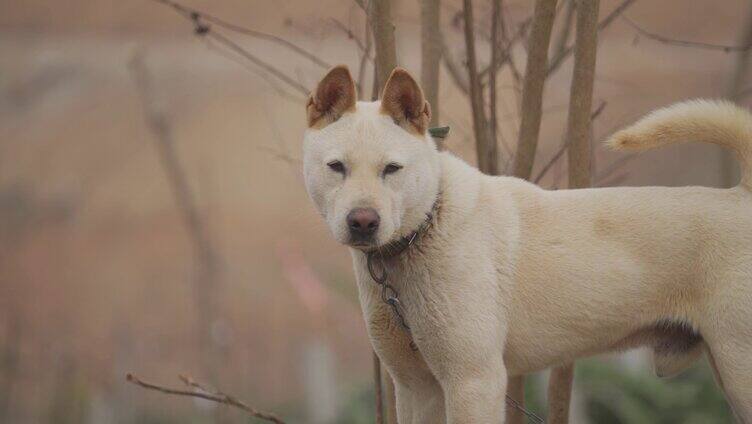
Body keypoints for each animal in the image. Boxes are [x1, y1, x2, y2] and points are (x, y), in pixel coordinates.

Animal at [302, 64, 752, 422]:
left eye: (392, 169)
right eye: (337, 167)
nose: (363, 222)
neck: (427, 224)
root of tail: (743, 196)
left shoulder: (474, 380)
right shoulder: (417, 386)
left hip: (738, 367)